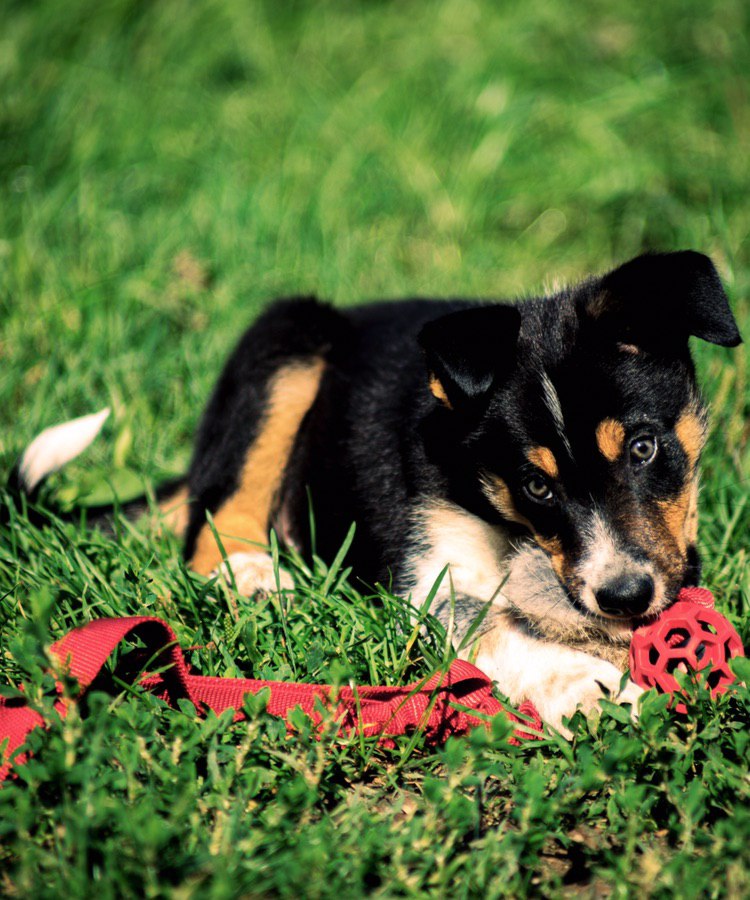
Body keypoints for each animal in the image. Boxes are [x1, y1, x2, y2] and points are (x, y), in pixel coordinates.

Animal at [14, 250, 744, 728]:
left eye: (645, 448)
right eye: (536, 484)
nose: (624, 598)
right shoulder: (428, 573)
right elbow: (489, 621)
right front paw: (588, 692)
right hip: (289, 337)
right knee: (209, 525)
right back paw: (255, 575)